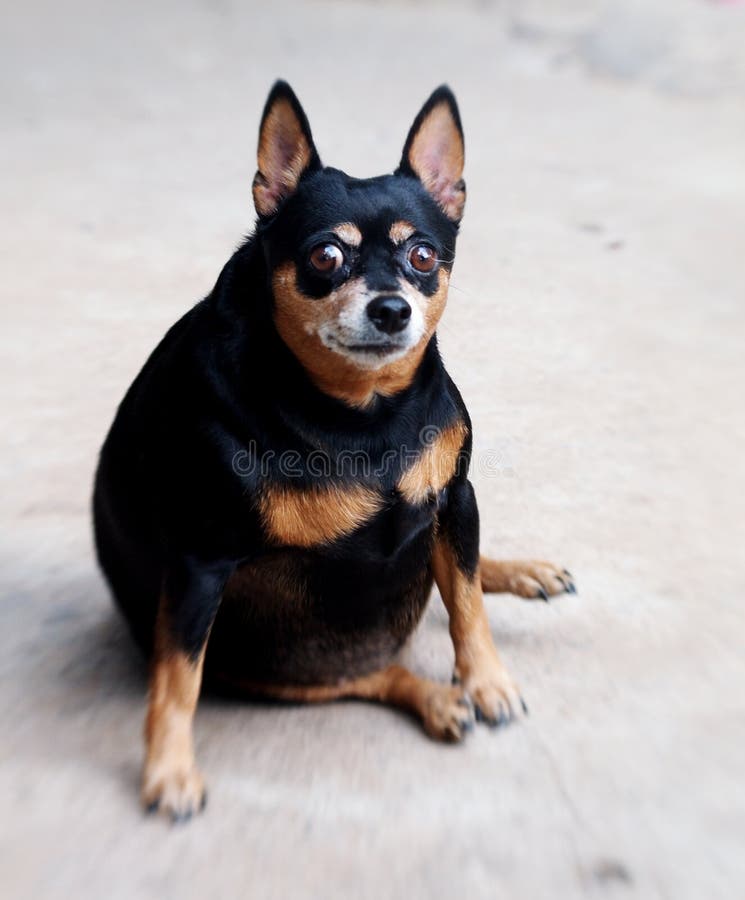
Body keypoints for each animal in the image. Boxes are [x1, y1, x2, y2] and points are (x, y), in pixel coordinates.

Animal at [93, 84, 576, 824]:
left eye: (423, 258)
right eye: (324, 257)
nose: (390, 309)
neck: (361, 410)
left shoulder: (455, 497)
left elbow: (467, 604)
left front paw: (488, 679)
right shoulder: (200, 565)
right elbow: (176, 682)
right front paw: (168, 772)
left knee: (455, 577)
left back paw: (519, 575)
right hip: (268, 663)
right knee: (368, 674)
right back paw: (434, 698)